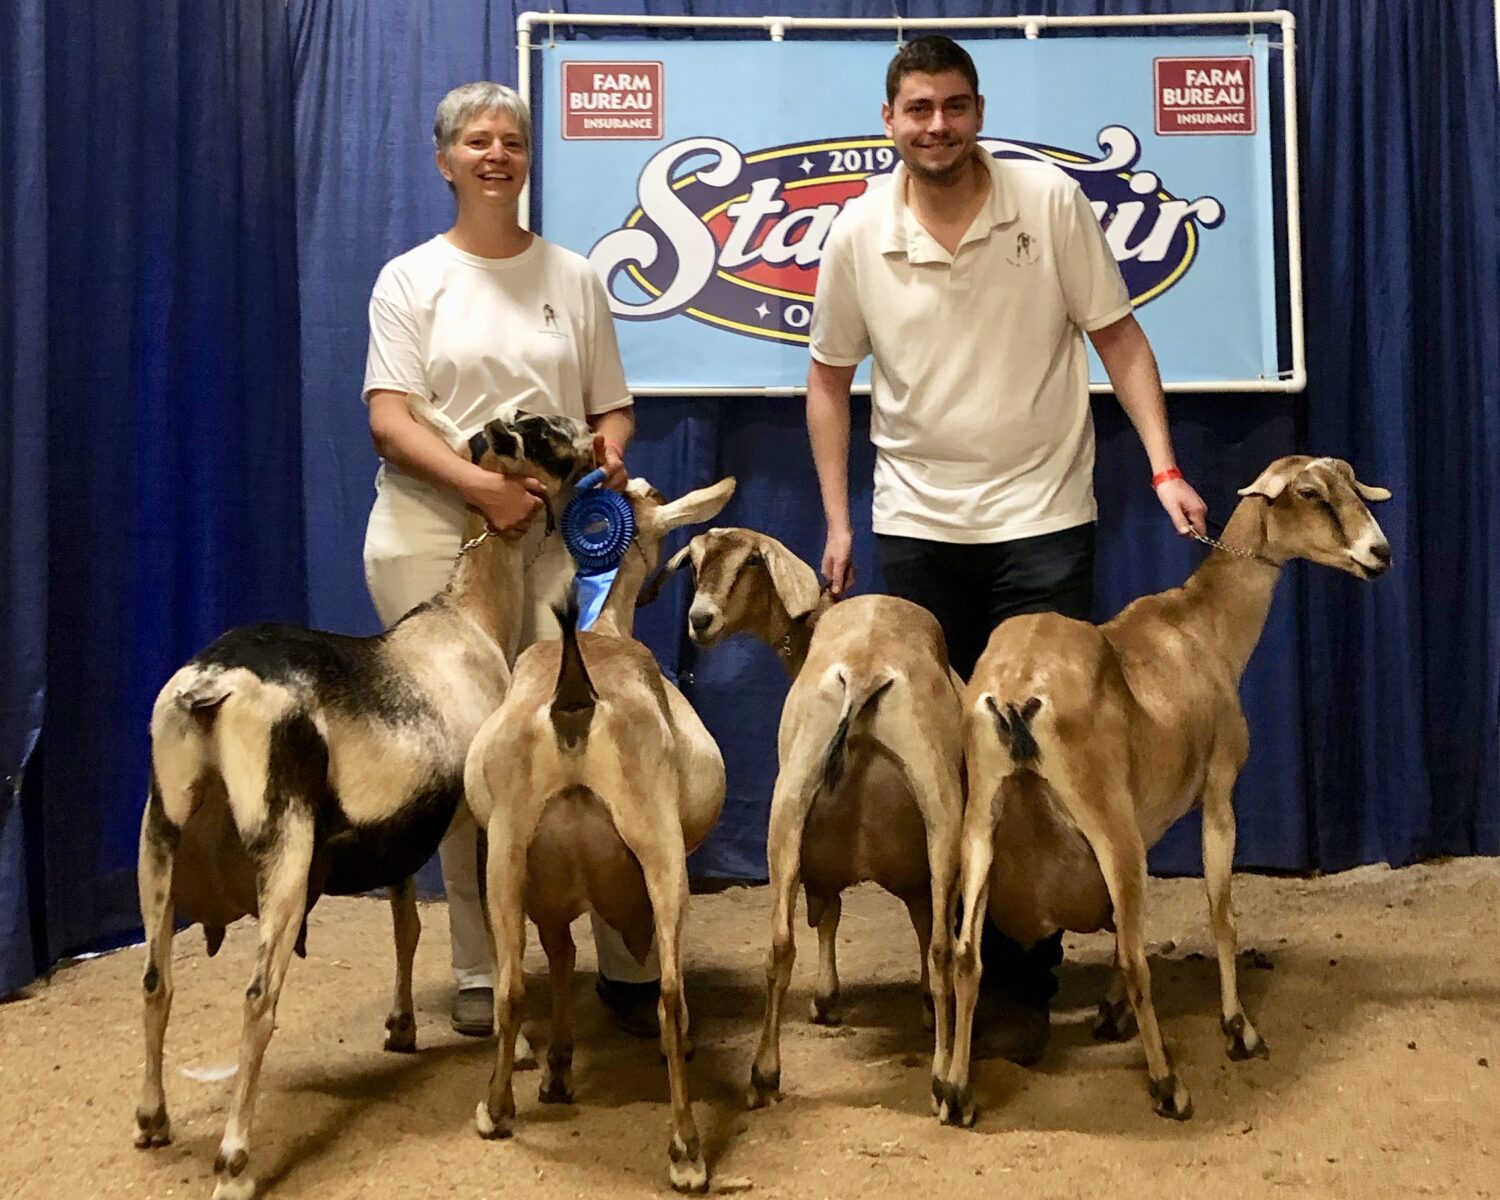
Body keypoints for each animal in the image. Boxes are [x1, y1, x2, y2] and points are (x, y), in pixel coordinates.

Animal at [132, 408, 594, 1200]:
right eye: (541, 430)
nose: (598, 443)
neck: (466, 616)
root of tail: (211, 687)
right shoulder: (477, 814)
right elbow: (493, 928)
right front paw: (526, 1051)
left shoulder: (399, 828)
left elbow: (406, 926)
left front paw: (402, 1026)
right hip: (283, 843)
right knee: (257, 999)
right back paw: (234, 1161)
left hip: (160, 830)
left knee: (156, 980)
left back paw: (152, 1121)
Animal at [463, 475, 736, 1194]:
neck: (600, 631)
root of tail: (575, 696)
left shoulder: (550, 892)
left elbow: (559, 963)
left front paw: (558, 1069)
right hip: (662, 851)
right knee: (670, 997)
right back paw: (686, 1150)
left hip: (505, 857)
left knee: (510, 986)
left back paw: (496, 1109)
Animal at [658, 527, 965, 1112]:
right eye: (696, 562)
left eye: (751, 562)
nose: (699, 619)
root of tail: (866, 668)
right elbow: (845, 913)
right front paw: (836, 998)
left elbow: (829, 911)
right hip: (936, 810)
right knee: (939, 946)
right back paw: (944, 1081)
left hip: (793, 803)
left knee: (783, 942)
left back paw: (765, 1074)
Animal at [937, 455, 1393, 1128]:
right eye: (1310, 493)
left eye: (1351, 483)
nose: (1379, 552)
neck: (1203, 626)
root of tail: (1017, 691)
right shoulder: (1220, 791)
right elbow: (1220, 912)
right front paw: (1238, 1028)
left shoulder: (1147, 815)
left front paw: (1110, 1013)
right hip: (1106, 825)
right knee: (1134, 957)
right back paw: (1169, 1085)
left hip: (983, 824)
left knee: (968, 952)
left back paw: (955, 1093)